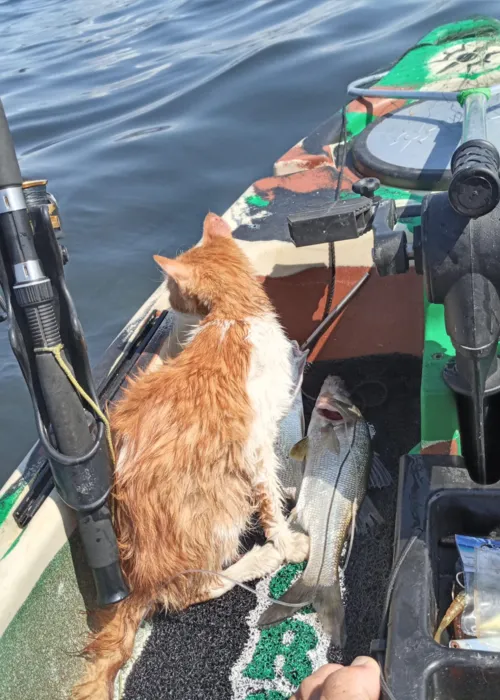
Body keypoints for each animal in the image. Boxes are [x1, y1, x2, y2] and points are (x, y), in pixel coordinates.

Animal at [72, 213, 308, 700]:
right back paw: (258, 560)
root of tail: (137, 578)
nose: (167, 308)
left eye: (172, 291)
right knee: (192, 589)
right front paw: (286, 542)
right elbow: (270, 503)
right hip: (220, 506)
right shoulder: (256, 448)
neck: (233, 317)